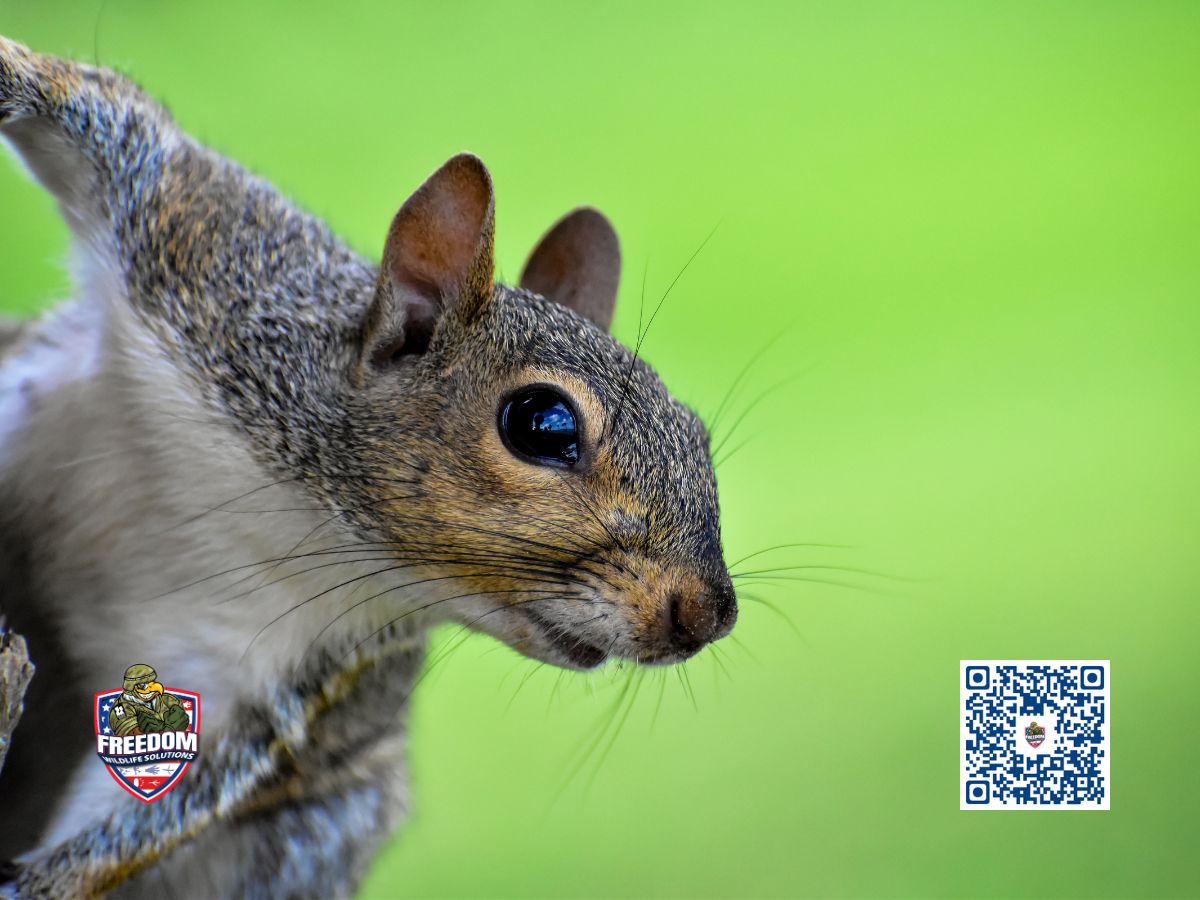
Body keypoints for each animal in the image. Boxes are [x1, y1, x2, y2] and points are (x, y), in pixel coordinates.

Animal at [0, 35, 737, 898]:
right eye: (544, 423)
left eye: (697, 436)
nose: (709, 614)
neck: (305, 511)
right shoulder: (202, 241)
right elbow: (96, 108)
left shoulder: (266, 674)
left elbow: (165, 792)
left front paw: (36, 881)